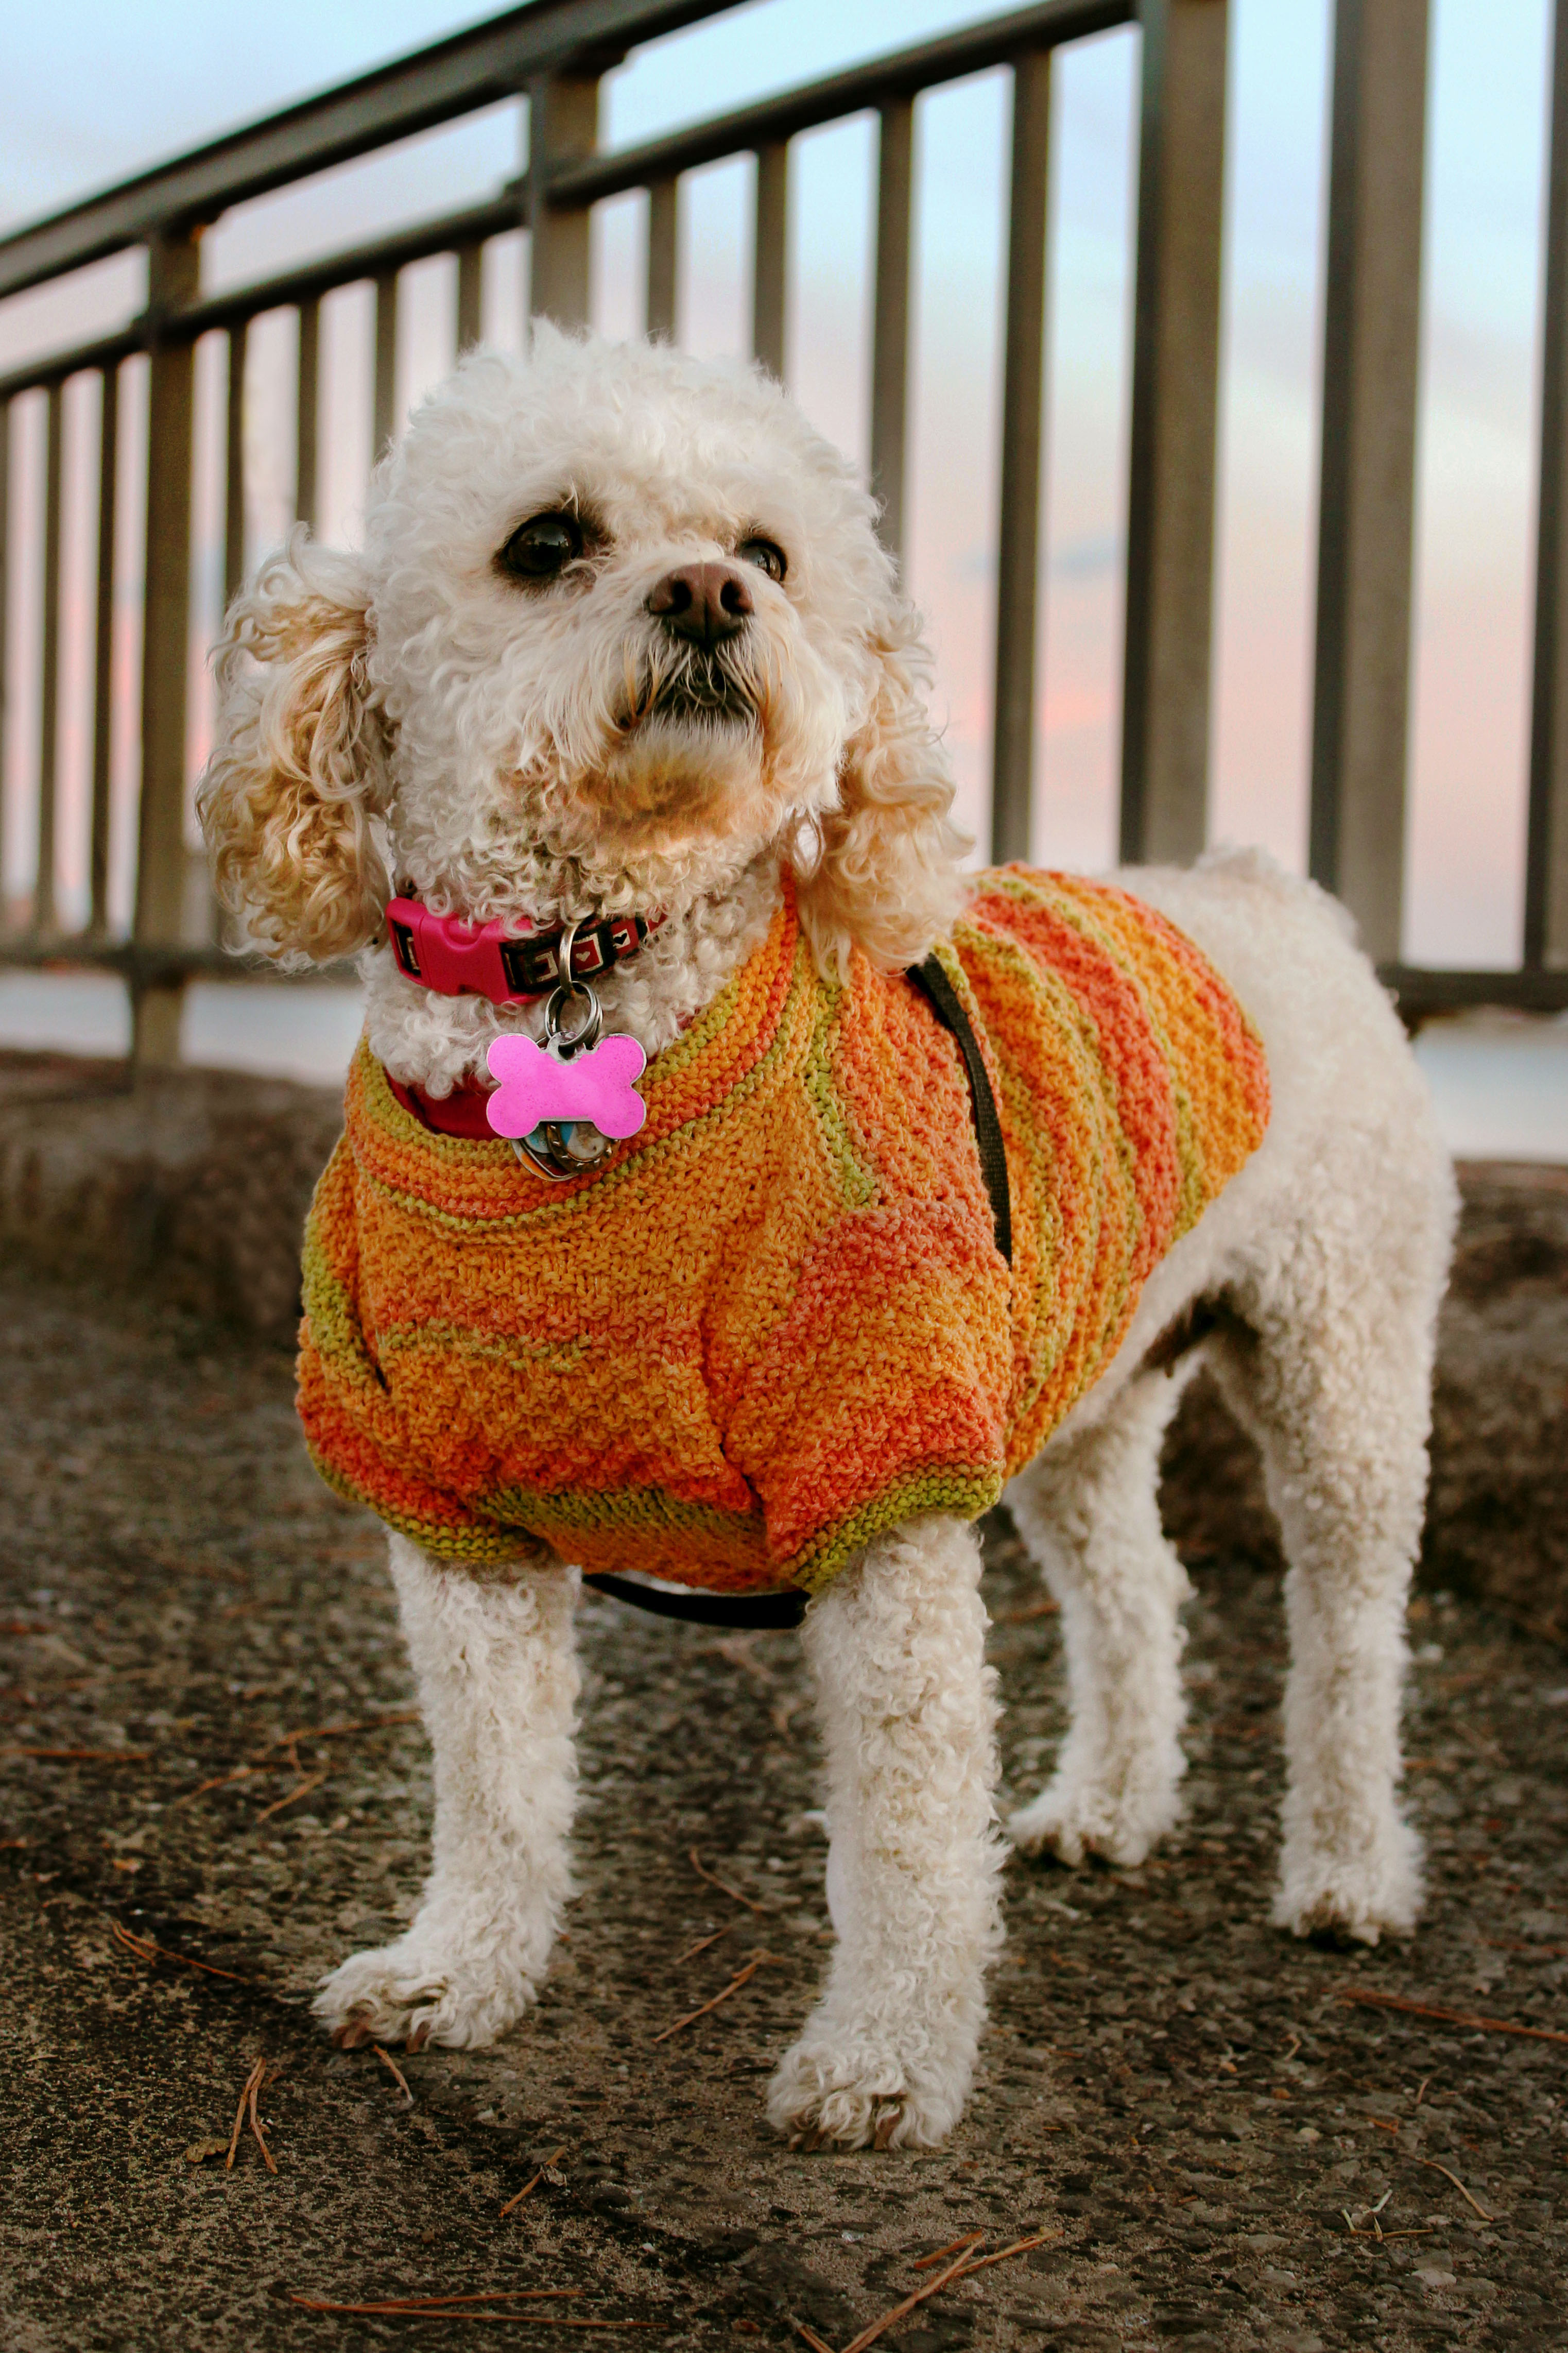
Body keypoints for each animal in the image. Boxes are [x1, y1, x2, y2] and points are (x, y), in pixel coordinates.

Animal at [200, 332, 1457, 2155]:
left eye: (768, 552)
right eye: (545, 542)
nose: (711, 595)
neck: (599, 988)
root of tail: (1263, 888)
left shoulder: (882, 1479)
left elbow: (908, 1831)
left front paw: (883, 2060)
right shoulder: (452, 1520)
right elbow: (494, 1791)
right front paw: (458, 1974)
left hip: (1342, 1357)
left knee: (1351, 1633)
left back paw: (1351, 1871)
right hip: (1076, 1386)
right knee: (1136, 1590)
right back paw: (1107, 1803)